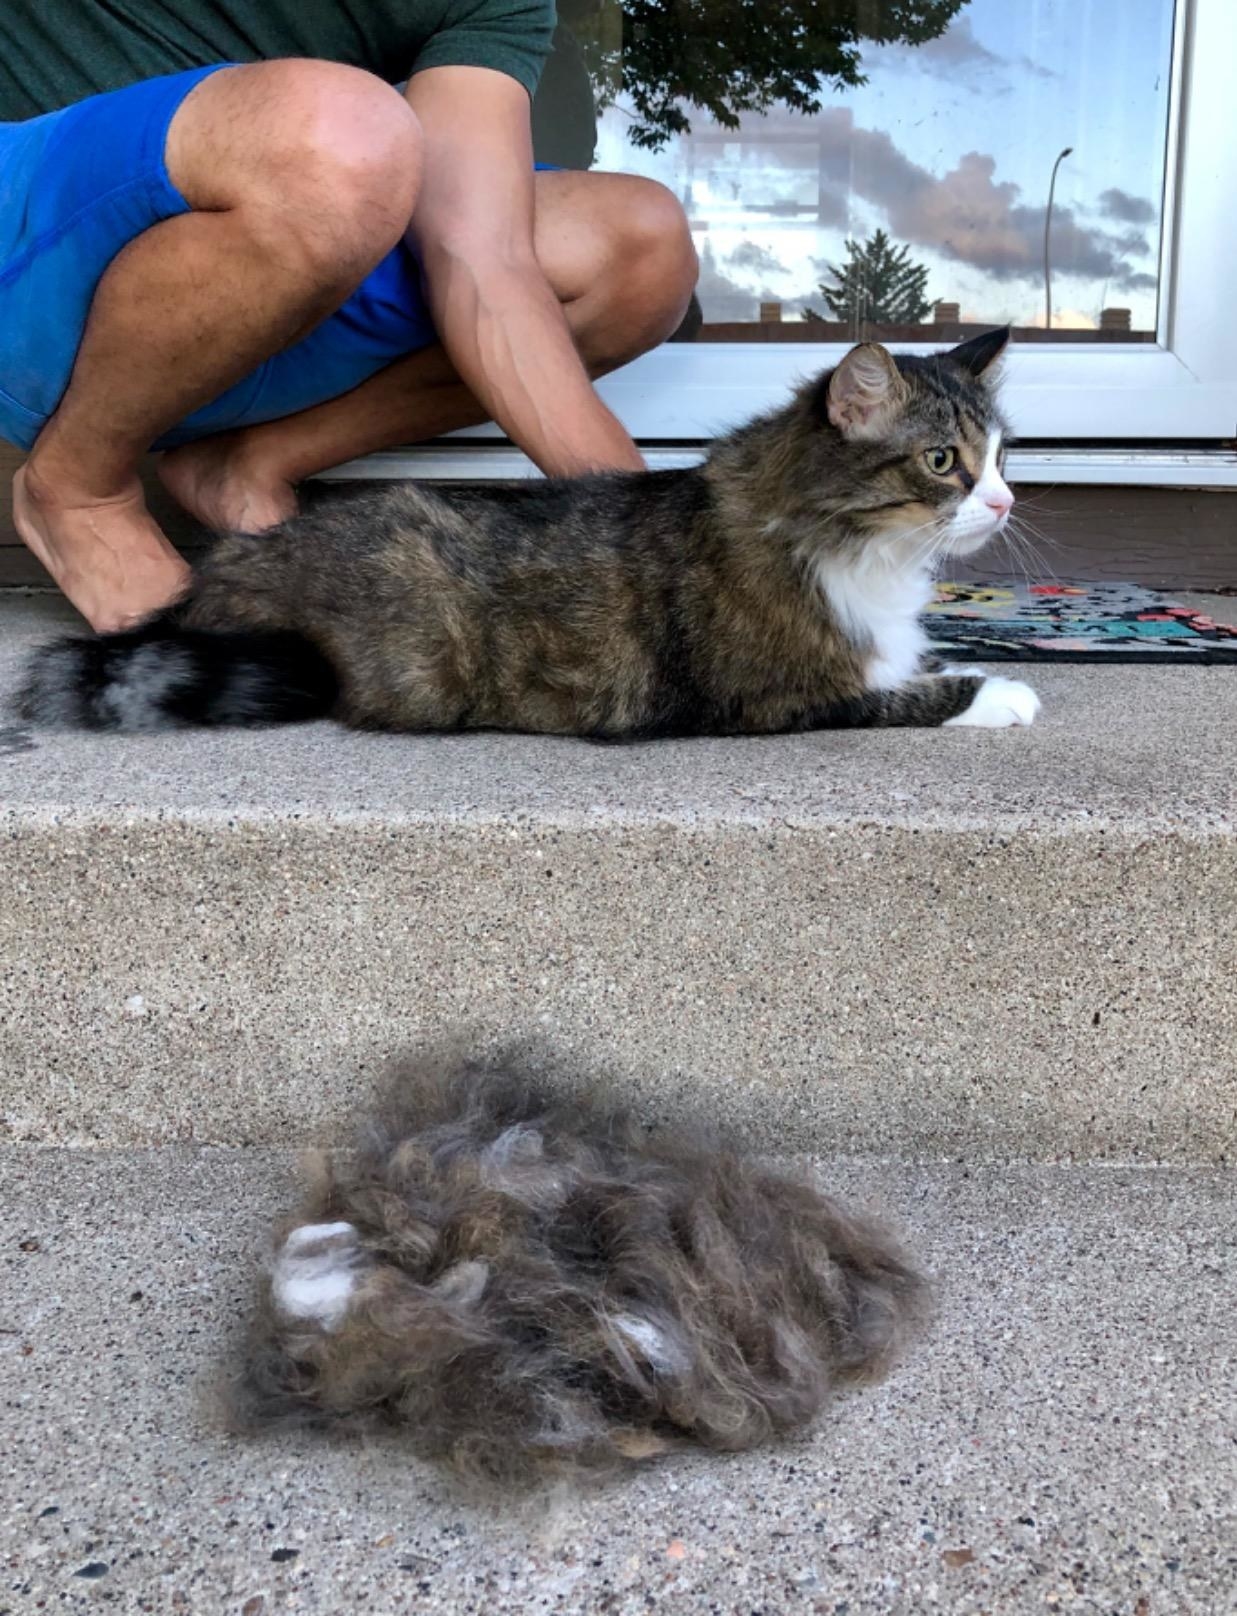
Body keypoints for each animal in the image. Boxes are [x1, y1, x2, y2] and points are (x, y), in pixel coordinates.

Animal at [19, 326, 1034, 740]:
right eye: (942, 461)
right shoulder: (776, 696)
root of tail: (224, 566)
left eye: (999, 454)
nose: (1004, 502)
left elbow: (916, 662)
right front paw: (999, 693)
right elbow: (904, 694)